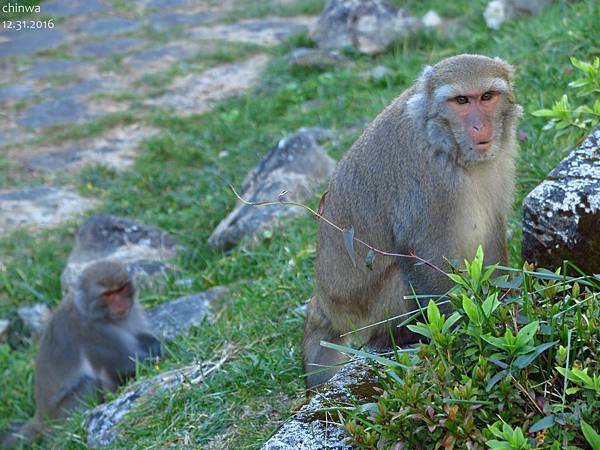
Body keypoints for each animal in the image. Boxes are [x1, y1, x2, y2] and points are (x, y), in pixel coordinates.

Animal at [2, 260, 161, 446]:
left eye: (121, 289)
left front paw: (152, 342)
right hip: (61, 416)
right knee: (88, 384)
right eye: (108, 294)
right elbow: (127, 363)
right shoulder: (90, 331)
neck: (90, 311)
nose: (121, 305)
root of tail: (40, 419)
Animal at [304, 54, 520, 388]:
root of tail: (326, 303)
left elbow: (492, 236)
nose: (479, 126)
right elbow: (425, 255)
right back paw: (397, 337)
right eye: (461, 100)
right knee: (397, 271)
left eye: (487, 97)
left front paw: (506, 306)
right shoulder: (428, 183)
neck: (444, 142)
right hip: (367, 311)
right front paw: (464, 334)